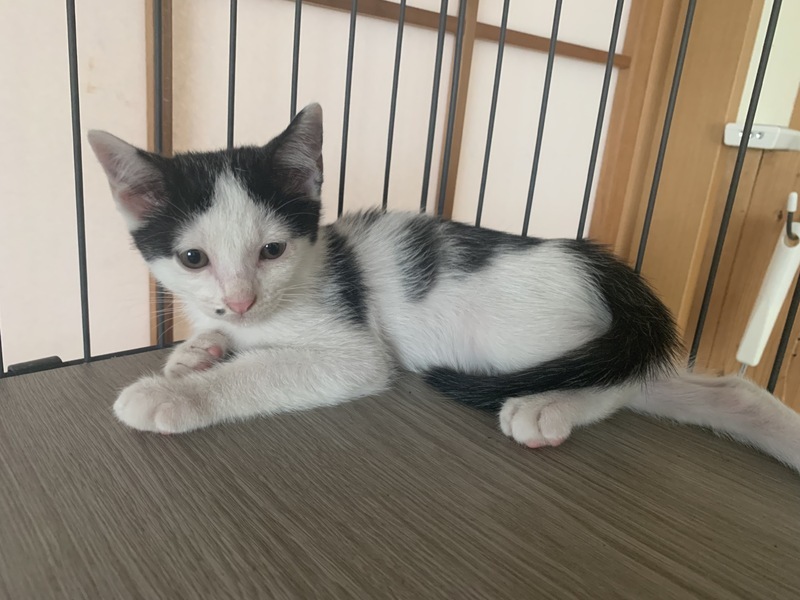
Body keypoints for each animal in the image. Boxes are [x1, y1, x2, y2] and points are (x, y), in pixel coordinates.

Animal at [88, 103, 800, 474]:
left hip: (519, 340)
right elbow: (220, 337)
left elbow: (266, 370)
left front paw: (173, 394)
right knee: (690, 382)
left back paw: (547, 408)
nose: (240, 300)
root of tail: (601, 265)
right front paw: (196, 351)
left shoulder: (355, 351)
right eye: (192, 258)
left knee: (620, 381)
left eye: (272, 250)